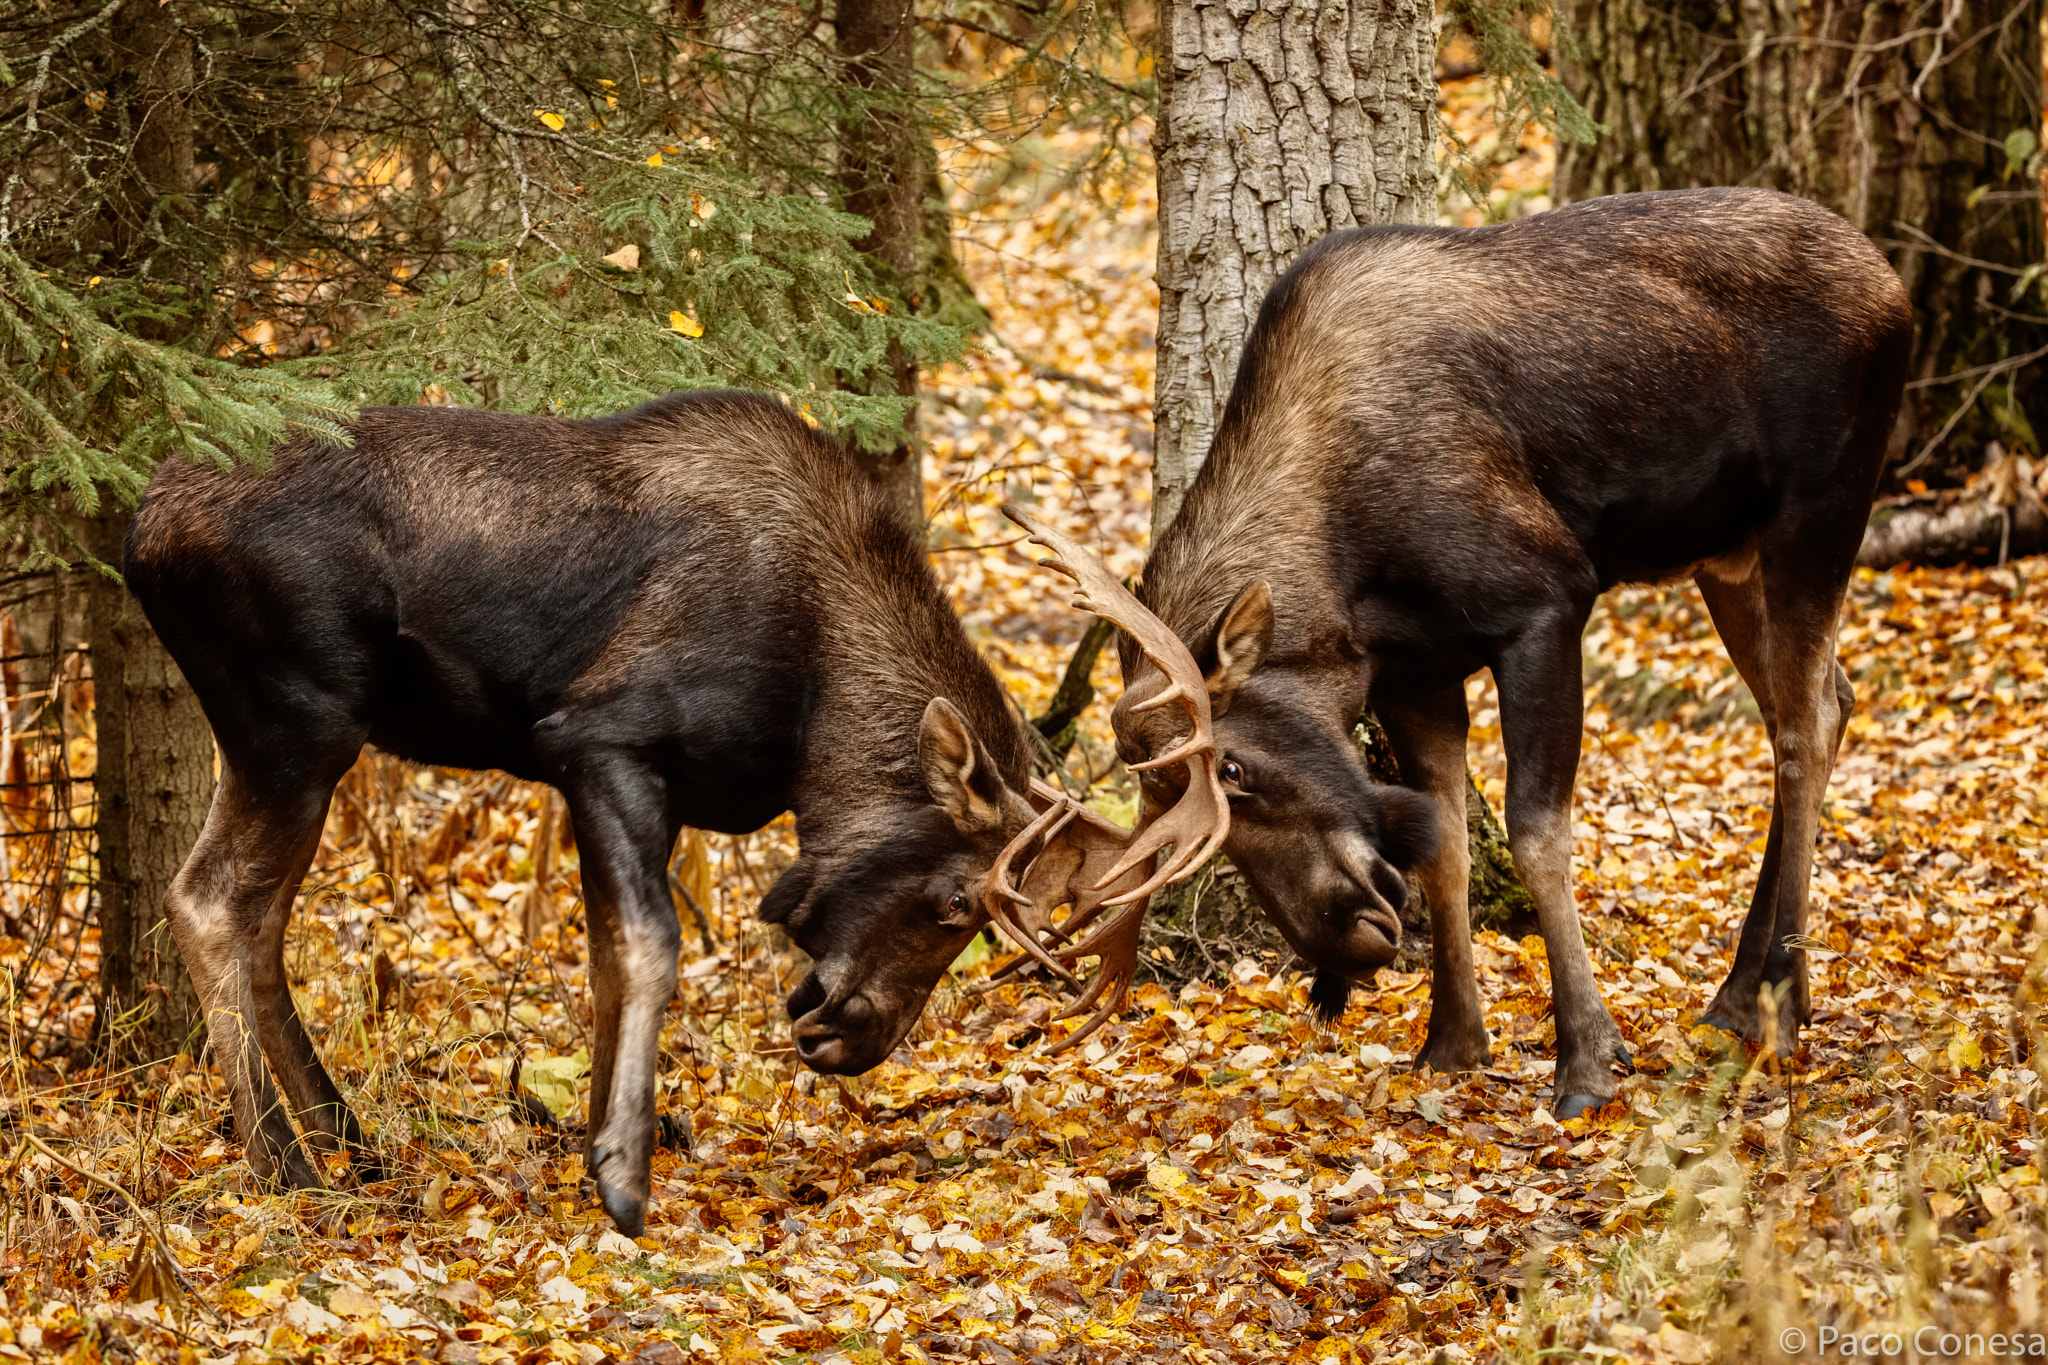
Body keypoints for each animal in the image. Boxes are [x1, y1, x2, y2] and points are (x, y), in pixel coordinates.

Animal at [123, 388, 1212, 1236]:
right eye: (956, 904)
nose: (853, 1039)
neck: (809, 721)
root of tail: (140, 527)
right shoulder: (595, 738)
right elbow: (648, 947)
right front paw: (622, 1174)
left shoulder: (649, 786)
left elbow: (606, 957)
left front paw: (596, 1140)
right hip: (295, 721)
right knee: (210, 901)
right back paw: (288, 1169)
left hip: (290, 738)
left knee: (262, 917)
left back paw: (347, 1142)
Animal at [1089, 187, 1916, 1113]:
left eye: (1234, 768)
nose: (1341, 943)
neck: (1344, 577)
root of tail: (1893, 284)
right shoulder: (1414, 672)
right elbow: (1446, 842)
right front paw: (1452, 1039)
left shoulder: (1546, 602)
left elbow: (1536, 835)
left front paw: (1587, 1056)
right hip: (1726, 558)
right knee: (1823, 701)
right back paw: (1740, 993)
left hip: (1822, 510)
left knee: (1803, 726)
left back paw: (1781, 995)